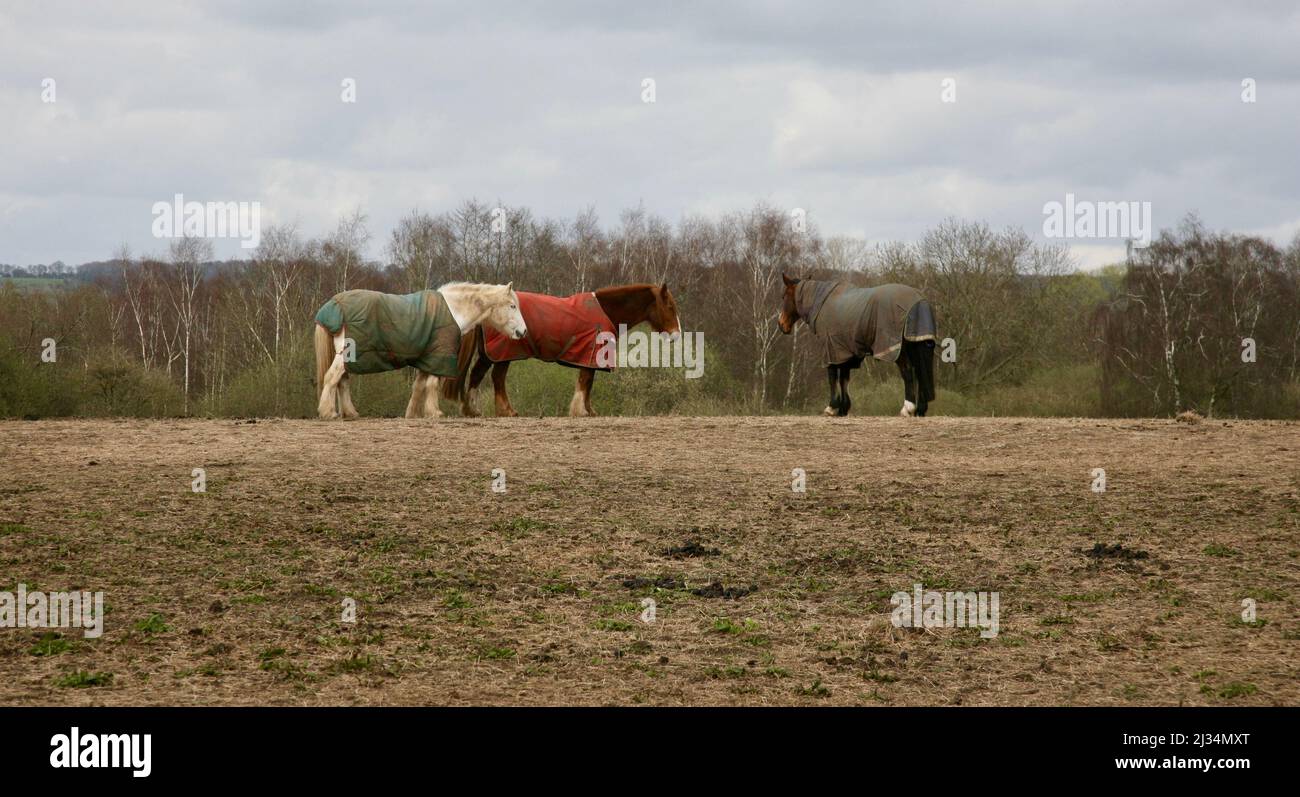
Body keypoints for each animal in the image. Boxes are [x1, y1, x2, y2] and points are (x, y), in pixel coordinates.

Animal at [314, 282, 527, 420]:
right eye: (512, 306)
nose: (523, 331)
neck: (453, 311)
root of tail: (334, 305)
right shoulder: (438, 357)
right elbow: (432, 385)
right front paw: (434, 412)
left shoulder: (427, 359)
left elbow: (418, 386)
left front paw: (413, 413)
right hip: (347, 355)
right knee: (332, 378)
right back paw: (328, 412)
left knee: (342, 382)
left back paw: (349, 412)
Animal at [440, 283, 681, 417]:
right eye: (670, 306)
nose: (676, 335)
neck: (605, 311)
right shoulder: (590, 354)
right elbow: (585, 381)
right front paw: (580, 411)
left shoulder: (589, 358)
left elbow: (588, 383)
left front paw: (589, 411)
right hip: (505, 352)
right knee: (497, 378)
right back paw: (506, 410)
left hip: (489, 353)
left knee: (477, 374)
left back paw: (472, 410)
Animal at [778, 273, 937, 417]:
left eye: (784, 296)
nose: (781, 324)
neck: (823, 304)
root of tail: (918, 302)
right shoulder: (843, 351)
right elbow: (843, 378)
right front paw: (843, 409)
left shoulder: (830, 349)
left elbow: (832, 376)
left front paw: (832, 407)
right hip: (915, 344)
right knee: (919, 372)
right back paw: (920, 410)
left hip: (898, 349)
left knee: (908, 371)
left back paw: (907, 408)